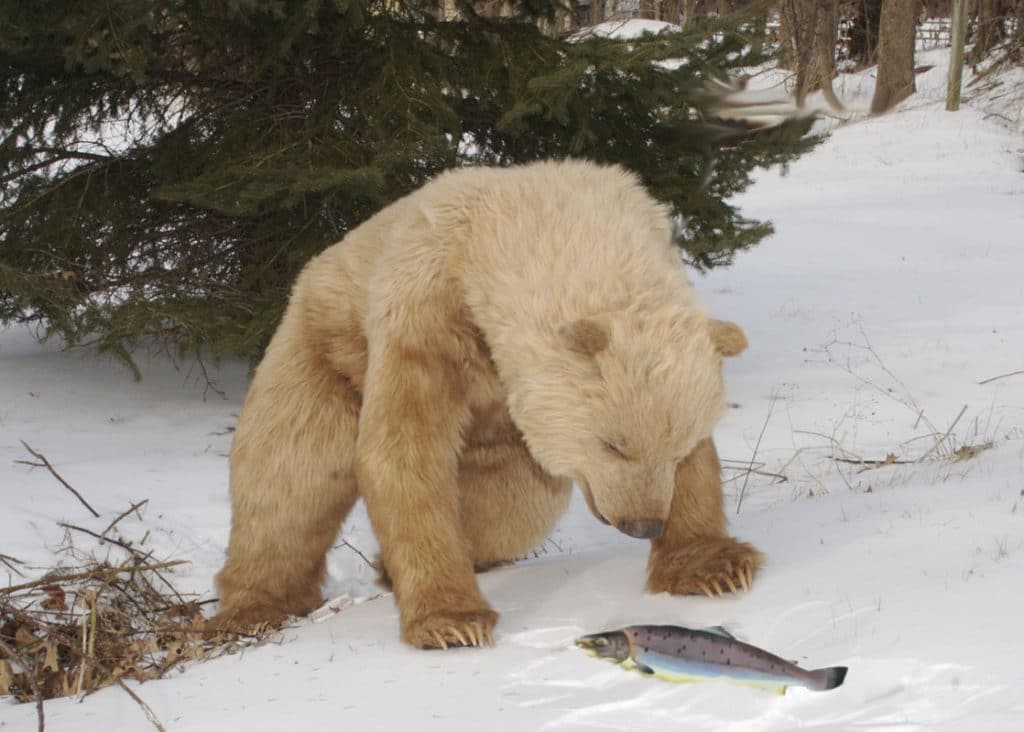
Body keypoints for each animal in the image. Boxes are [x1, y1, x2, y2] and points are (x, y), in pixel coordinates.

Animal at [214, 158, 761, 647]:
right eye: (613, 444)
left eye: (678, 446)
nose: (642, 523)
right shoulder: (425, 316)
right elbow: (403, 451)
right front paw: (452, 623)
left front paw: (714, 567)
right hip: (323, 351)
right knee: (290, 477)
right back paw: (252, 607)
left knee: (514, 503)